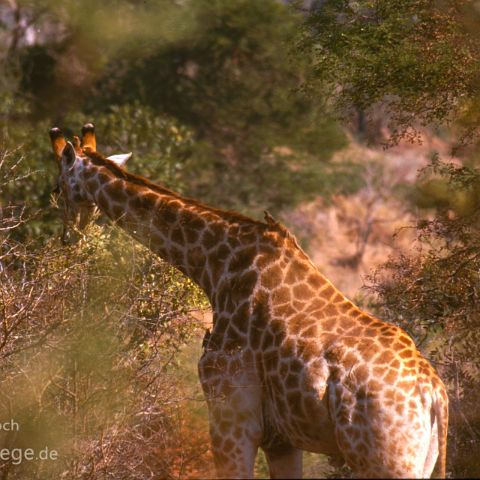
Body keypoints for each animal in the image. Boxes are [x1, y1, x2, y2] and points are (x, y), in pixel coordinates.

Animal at [47, 124, 446, 480]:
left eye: (56, 186)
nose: (68, 237)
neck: (215, 267)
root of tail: (434, 398)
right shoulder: (281, 439)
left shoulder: (232, 419)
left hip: (385, 459)